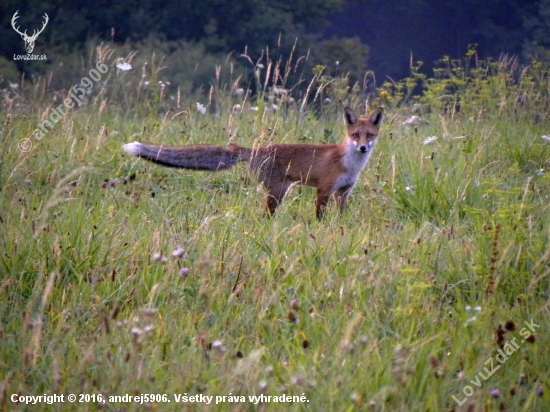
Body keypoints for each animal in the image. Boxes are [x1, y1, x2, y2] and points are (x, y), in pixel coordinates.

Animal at [123, 108, 386, 220]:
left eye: (369, 135)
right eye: (356, 135)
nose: (363, 148)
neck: (349, 163)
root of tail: (256, 150)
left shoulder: (343, 193)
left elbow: (342, 217)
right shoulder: (324, 190)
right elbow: (319, 217)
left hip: (280, 192)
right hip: (277, 193)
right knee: (265, 216)